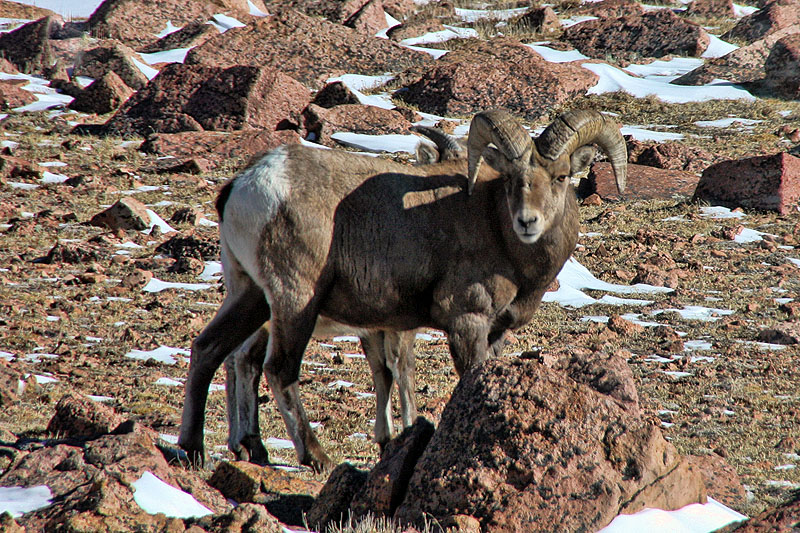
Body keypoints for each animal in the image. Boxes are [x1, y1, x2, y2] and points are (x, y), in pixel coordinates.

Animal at [178, 108, 628, 470]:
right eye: (512, 180)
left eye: (561, 176)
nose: (527, 222)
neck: (497, 230)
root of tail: (246, 185)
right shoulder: (465, 323)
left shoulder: (488, 331)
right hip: (294, 303)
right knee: (278, 369)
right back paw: (317, 458)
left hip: (250, 295)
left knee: (210, 350)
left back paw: (195, 451)